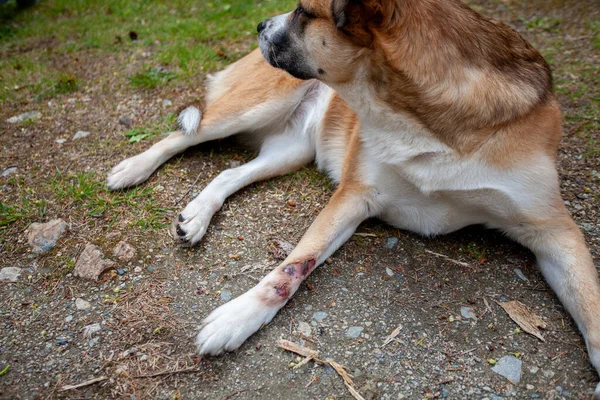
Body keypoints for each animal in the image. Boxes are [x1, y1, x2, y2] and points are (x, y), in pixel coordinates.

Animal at [106, 0, 600, 394]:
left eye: (304, 12)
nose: (261, 23)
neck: (430, 120)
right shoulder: (354, 195)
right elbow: (290, 268)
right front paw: (236, 318)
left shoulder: (554, 231)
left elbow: (591, 307)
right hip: (249, 109)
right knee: (182, 136)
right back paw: (133, 168)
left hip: (291, 150)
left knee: (229, 172)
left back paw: (197, 215)